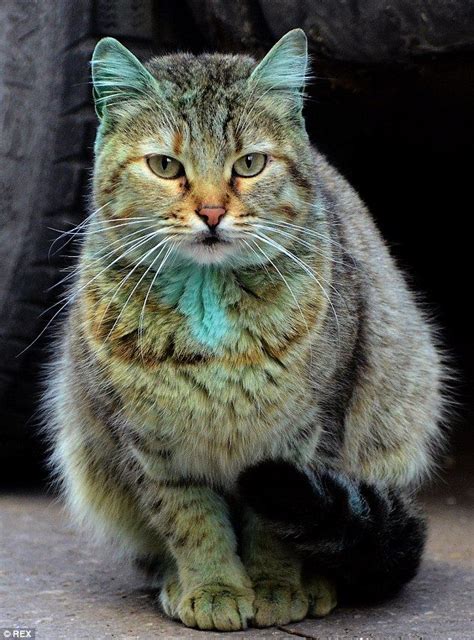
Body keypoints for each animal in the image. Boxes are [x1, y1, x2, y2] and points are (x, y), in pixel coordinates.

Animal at [43, 30, 444, 632]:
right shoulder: (151, 444)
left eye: (250, 163)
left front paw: (277, 588)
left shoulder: (307, 433)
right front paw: (213, 588)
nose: (211, 212)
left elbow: (274, 530)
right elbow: (191, 521)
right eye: (165, 165)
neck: (209, 302)